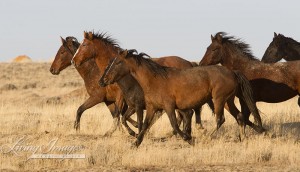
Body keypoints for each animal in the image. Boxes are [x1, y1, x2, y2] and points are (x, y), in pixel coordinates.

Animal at [102, 49, 262, 147]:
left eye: (117, 62)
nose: (103, 80)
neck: (154, 80)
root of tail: (233, 72)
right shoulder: (152, 108)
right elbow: (145, 125)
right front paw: (135, 143)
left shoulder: (169, 107)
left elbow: (174, 124)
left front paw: (188, 139)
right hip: (228, 100)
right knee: (239, 116)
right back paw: (243, 138)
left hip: (219, 99)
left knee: (220, 119)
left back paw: (207, 137)